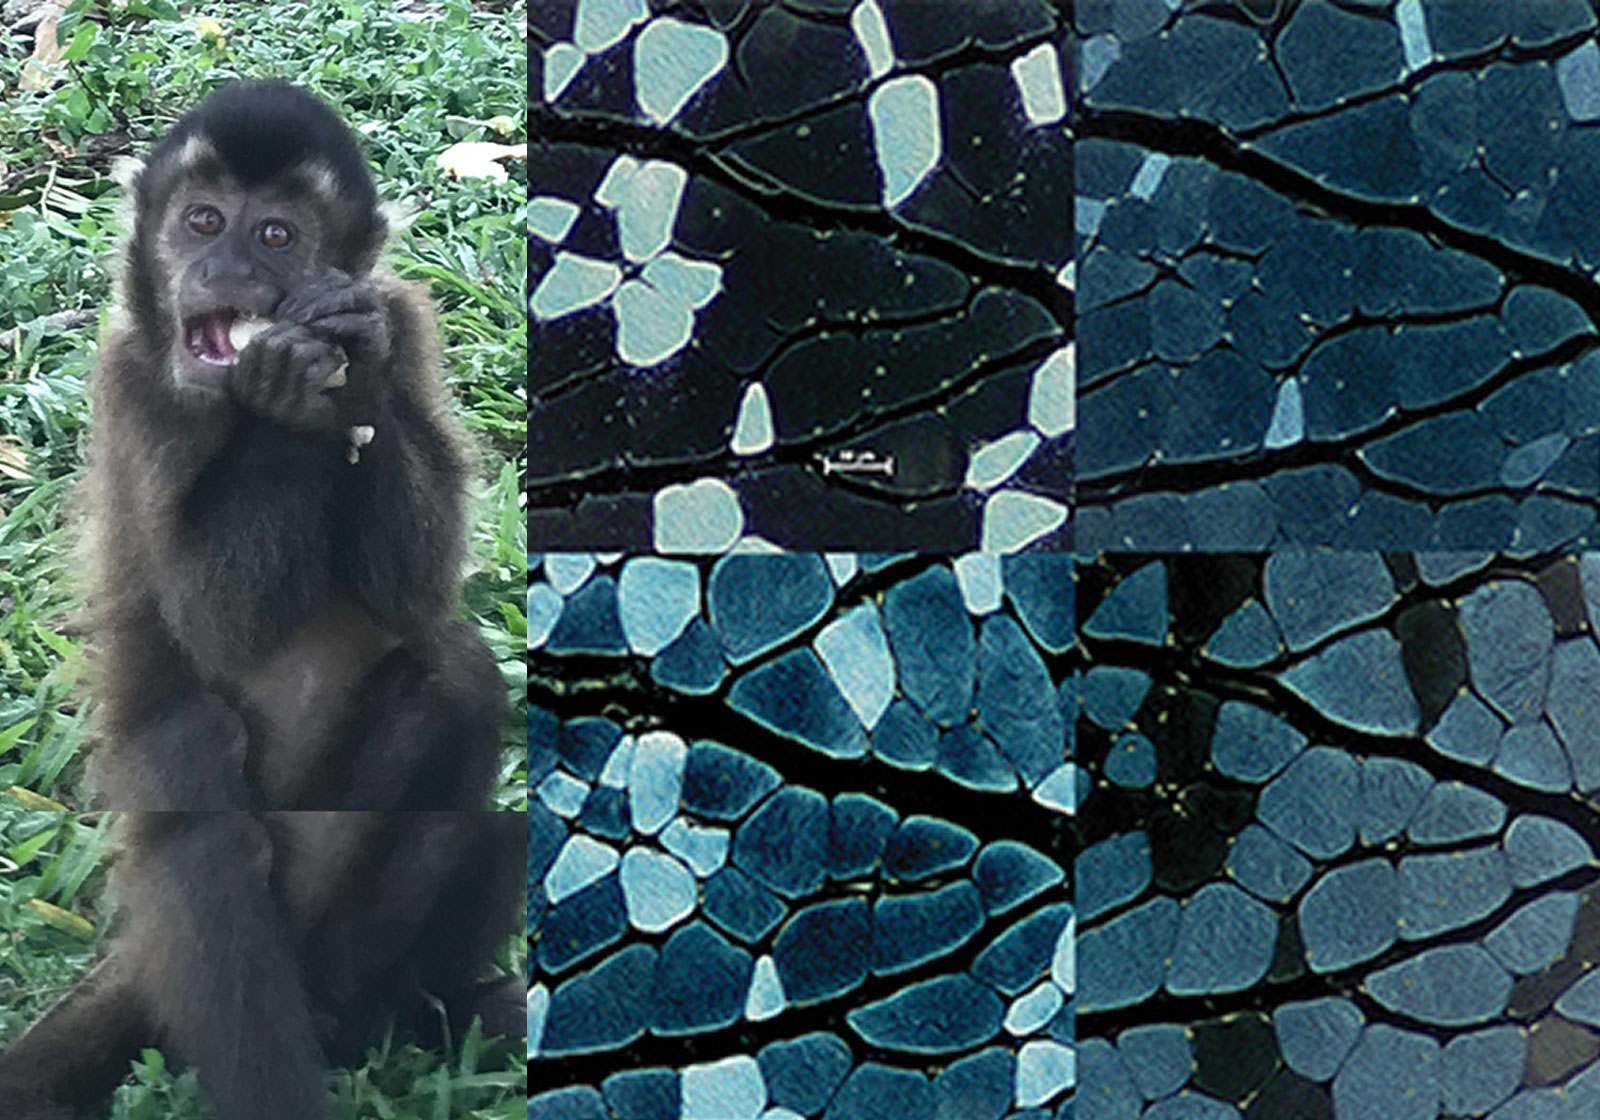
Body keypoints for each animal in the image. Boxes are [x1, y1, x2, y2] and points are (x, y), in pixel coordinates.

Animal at [0, 81, 523, 1119]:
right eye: (203, 223)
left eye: (276, 236)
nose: (226, 269)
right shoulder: (130, 383)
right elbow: (218, 626)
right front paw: (289, 397)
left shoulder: (405, 314)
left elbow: (416, 594)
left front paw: (350, 373)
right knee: (199, 783)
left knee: (454, 685)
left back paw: (393, 1013)